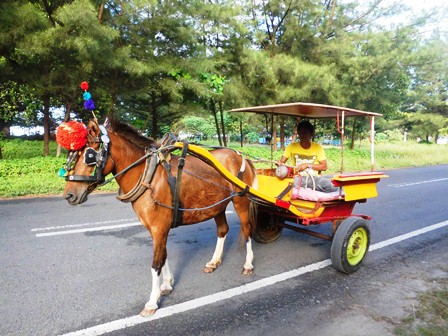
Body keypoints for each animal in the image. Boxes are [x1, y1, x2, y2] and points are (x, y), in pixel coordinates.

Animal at [63, 117, 260, 316]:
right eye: (72, 156)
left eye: (89, 156)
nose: (69, 195)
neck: (148, 175)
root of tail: (240, 156)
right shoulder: (156, 229)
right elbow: (164, 256)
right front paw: (166, 284)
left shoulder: (159, 228)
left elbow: (156, 264)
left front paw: (152, 301)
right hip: (217, 206)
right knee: (222, 230)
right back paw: (213, 262)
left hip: (241, 201)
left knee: (247, 230)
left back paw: (248, 264)